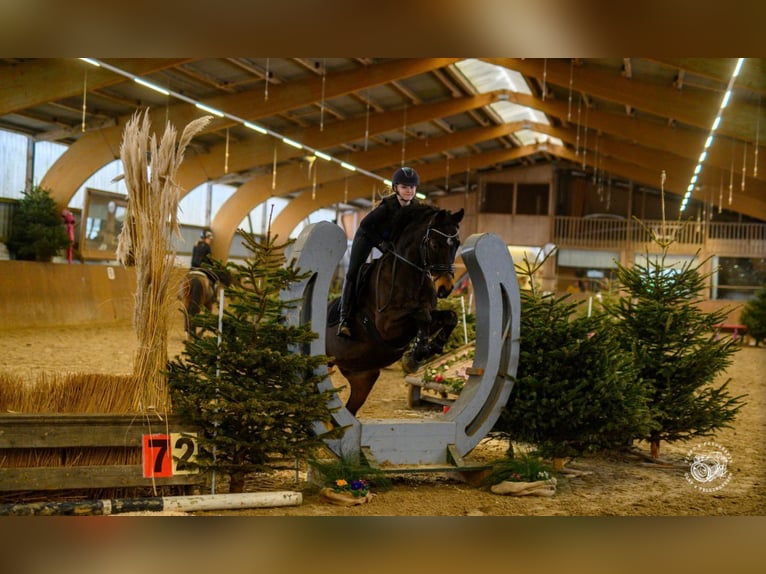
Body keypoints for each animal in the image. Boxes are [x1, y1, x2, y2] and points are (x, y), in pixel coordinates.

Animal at [326, 204, 465, 415]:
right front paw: (417, 353)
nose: (445, 287)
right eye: (434, 244)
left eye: (456, 244)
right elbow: (422, 315)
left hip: (362, 376)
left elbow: (449, 316)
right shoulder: (387, 327)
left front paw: (432, 347)